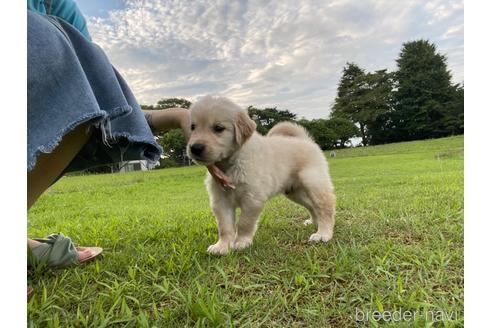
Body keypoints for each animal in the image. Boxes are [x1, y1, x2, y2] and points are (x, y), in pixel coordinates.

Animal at [186, 96, 336, 255]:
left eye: (218, 128)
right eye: (193, 127)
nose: (195, 148)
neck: (231, 163)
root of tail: (305, 140)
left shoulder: (252, 199)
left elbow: (244, 223)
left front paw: (241, 242)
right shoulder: (221, 201)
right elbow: (224, 226)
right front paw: (222, 246)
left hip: (314, 182)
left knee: (325, 206)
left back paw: (323, 233)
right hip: (294, 191)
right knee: (312, 205)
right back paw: (314, 222)